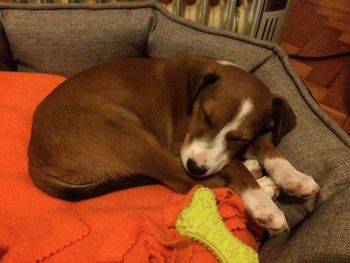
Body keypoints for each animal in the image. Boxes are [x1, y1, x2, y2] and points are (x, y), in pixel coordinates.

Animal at [28, 56, 320, 234]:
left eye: (238, 138)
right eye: (205, 115)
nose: (197, 166)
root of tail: (34, 160)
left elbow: (264, 145)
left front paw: (294, 178)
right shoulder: (180, 145)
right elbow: (232, 169)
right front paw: (263, 205)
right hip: (133, 137)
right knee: (187, 182)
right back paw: (265, 185)